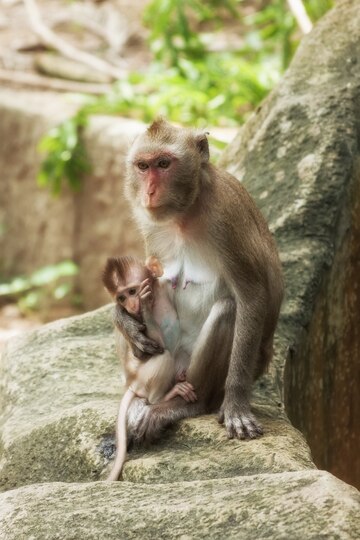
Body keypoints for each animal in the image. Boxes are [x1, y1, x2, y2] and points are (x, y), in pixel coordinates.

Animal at [102, 255, 195, 478]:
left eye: (132, 292)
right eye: (121, 298)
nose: (131, 304)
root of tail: (130, 383)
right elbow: (153, 346)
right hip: (141, 377)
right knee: (164, 358)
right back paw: (165, 397)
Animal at [116, 116, 282, 440]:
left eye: (164, 164)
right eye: (142, 166)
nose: (149, 191)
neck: (186, 212)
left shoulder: (226, 219)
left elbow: (252, 297)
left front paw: (236, 405)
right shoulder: (150, 226)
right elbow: (142, 283)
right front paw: (126, 323)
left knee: (228, 310)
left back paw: (186, 403)